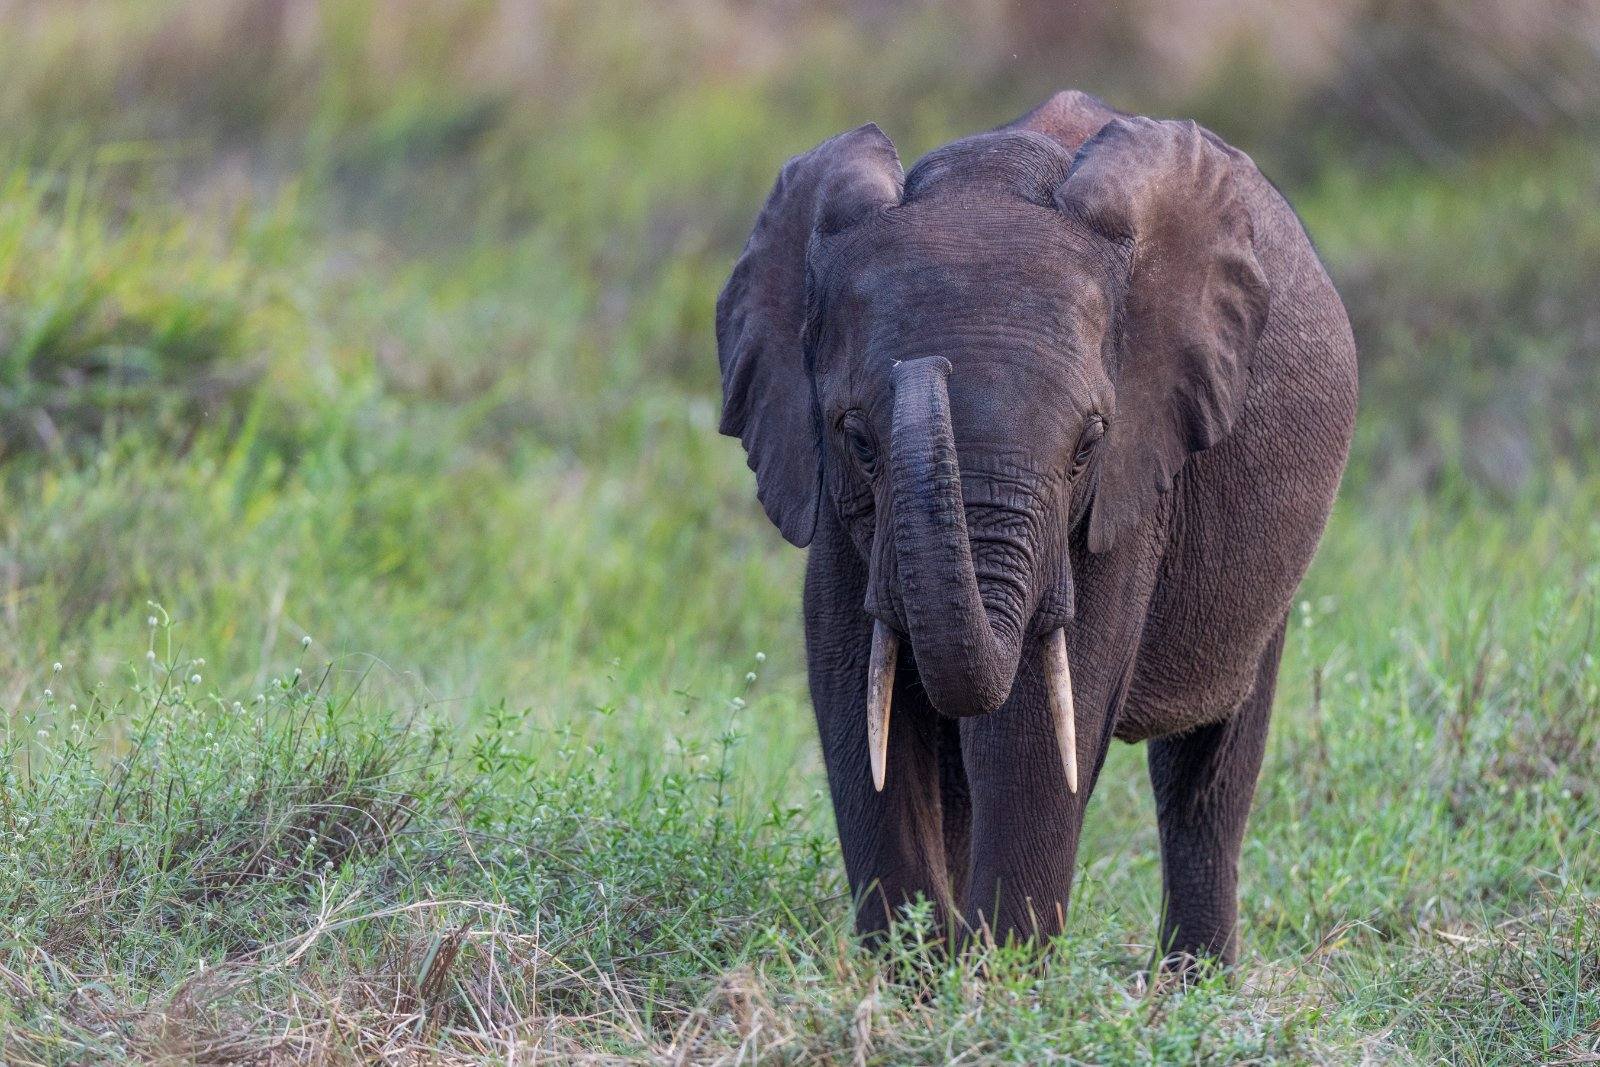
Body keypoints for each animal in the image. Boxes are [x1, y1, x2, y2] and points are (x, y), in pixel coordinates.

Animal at [714, 90, 1357, 967]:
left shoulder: (1131, 482)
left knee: (1207, 770)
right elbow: (854, 691)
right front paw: (913, 975)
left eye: (1089, 440)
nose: (926, 369)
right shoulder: (833, 496)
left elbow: (1034, 724)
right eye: (857, 438)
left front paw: (1000, 977)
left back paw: (1195, 985)